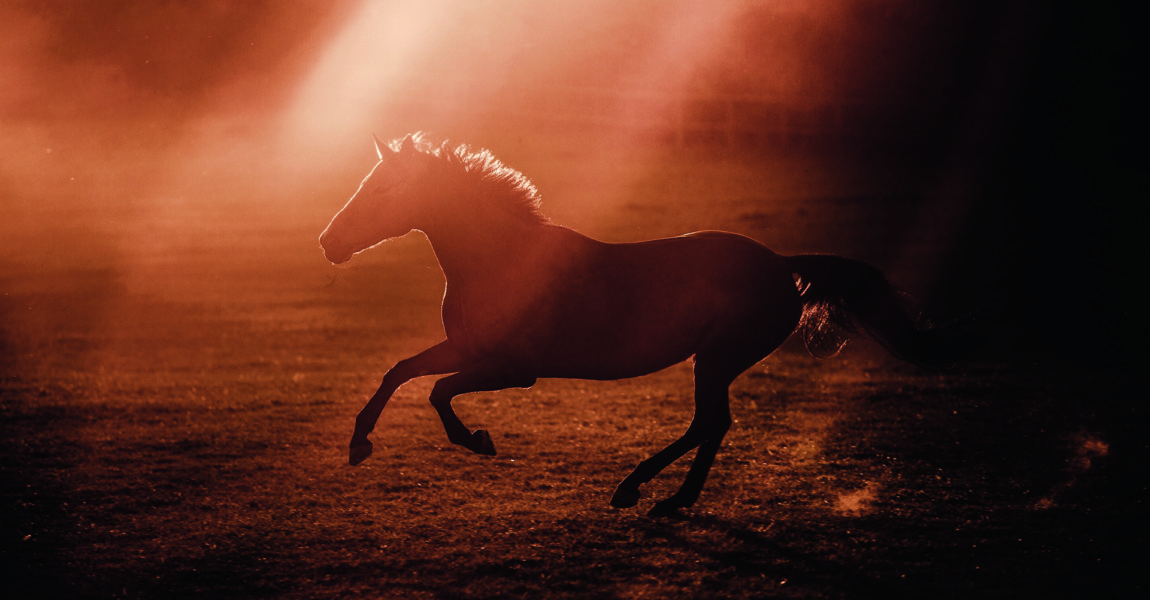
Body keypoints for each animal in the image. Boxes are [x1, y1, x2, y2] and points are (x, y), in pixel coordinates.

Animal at [317, 132, 970, 512]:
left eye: (385, 188)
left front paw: (476, 440)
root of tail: (782, 263)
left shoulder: (514, 368)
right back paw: (664, 496)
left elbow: (437, 392)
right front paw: (359, 444)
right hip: (714, 360)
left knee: (711, 422)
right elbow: (401, 371)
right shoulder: (468, 347)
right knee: (713, 423)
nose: (329, 243)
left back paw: (644, 492)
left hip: (718, 358)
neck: (501, 258)